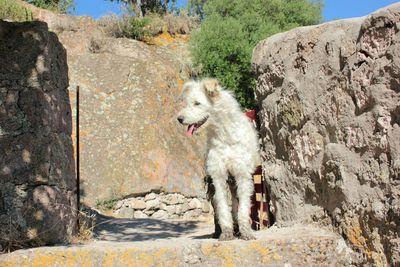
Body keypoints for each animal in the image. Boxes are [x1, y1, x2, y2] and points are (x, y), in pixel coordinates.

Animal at [177, 78, 260, 242]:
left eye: (197, 103)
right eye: (188, 103)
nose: (179, 119)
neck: (224, 135)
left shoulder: (242, 175)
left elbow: (243, 207)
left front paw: (246, 232)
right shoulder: (218, 176)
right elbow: (222, 208)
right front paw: (226, 232)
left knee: (236, 203)